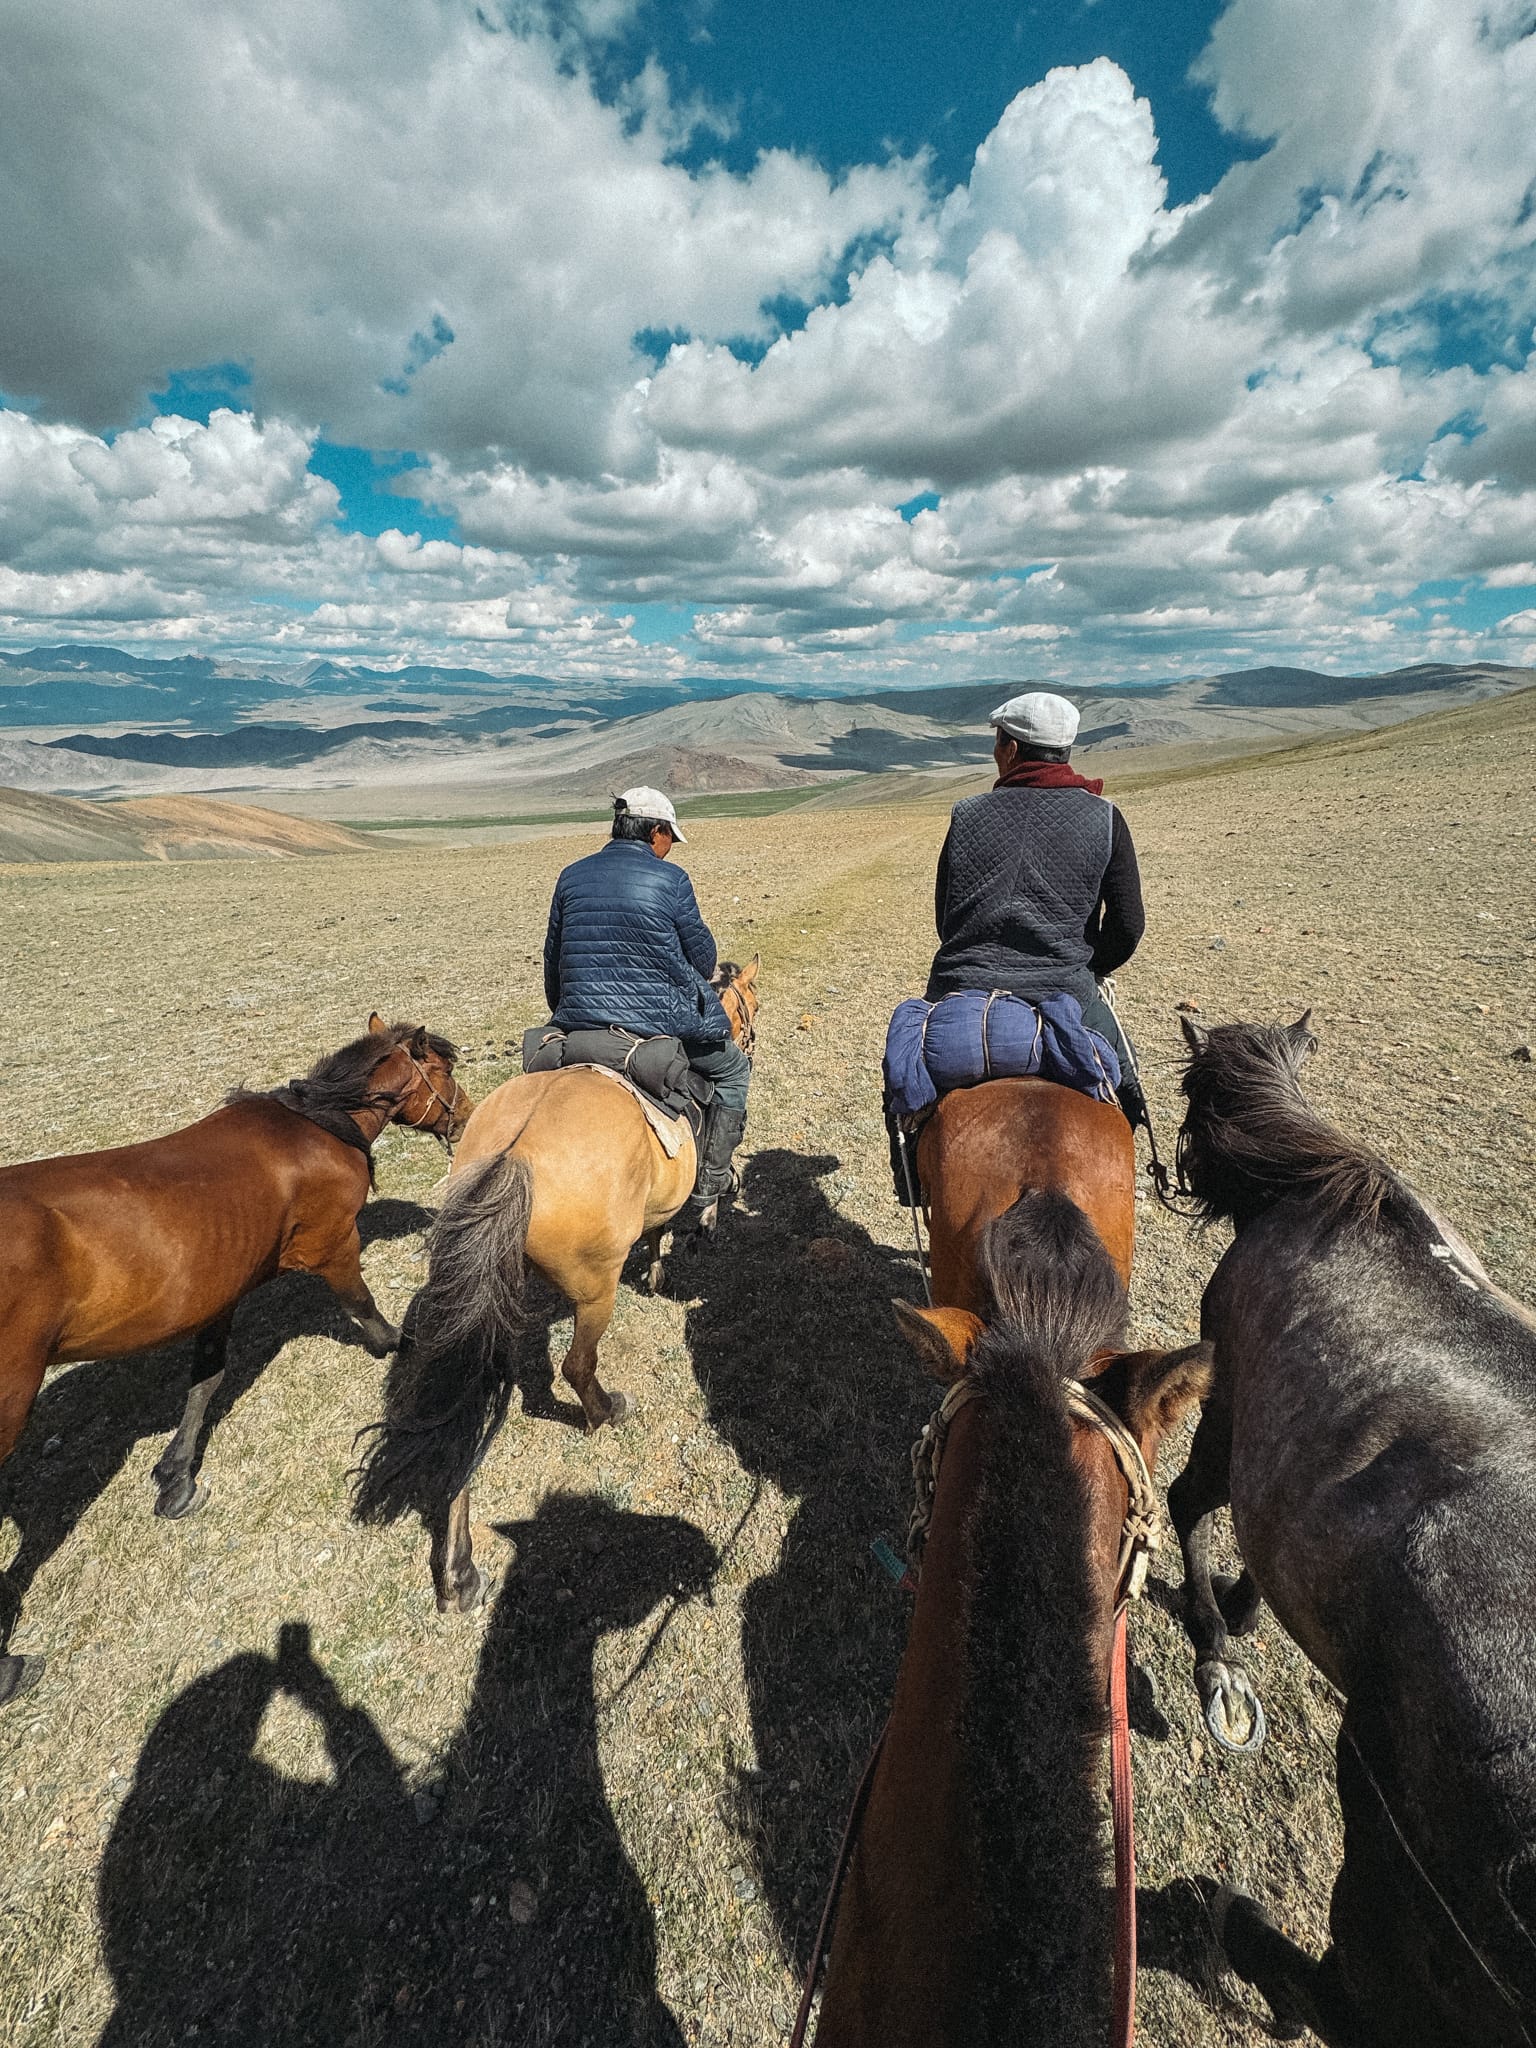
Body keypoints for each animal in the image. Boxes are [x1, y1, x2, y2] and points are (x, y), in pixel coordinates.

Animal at [0, 1011, 468, 1712]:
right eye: (440, 1069)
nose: (464, 1116)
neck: (315, 1126)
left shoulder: (217, 1291)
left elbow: (206, 1381)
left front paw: (177, 1477)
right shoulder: (334, 1246)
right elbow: (366, 1310)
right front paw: (400, 1345)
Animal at [348, 958, 757, 1613]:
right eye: (749, 1008)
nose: (750, 1039)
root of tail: (516, 1153)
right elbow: (688, 1211)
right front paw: (679, 1252)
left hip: (488, 1301)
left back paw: (459, 1571)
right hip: (593, 1292)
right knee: (576, 1367)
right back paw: (606, 1412)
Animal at [1171, 1011, 1531, 2048]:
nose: (1182, 1171)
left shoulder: (1232, 1412)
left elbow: (1193, 1511)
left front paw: (1218, 1635)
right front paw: (1238, 1617)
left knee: (1353, 2000)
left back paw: (1236, 1923)